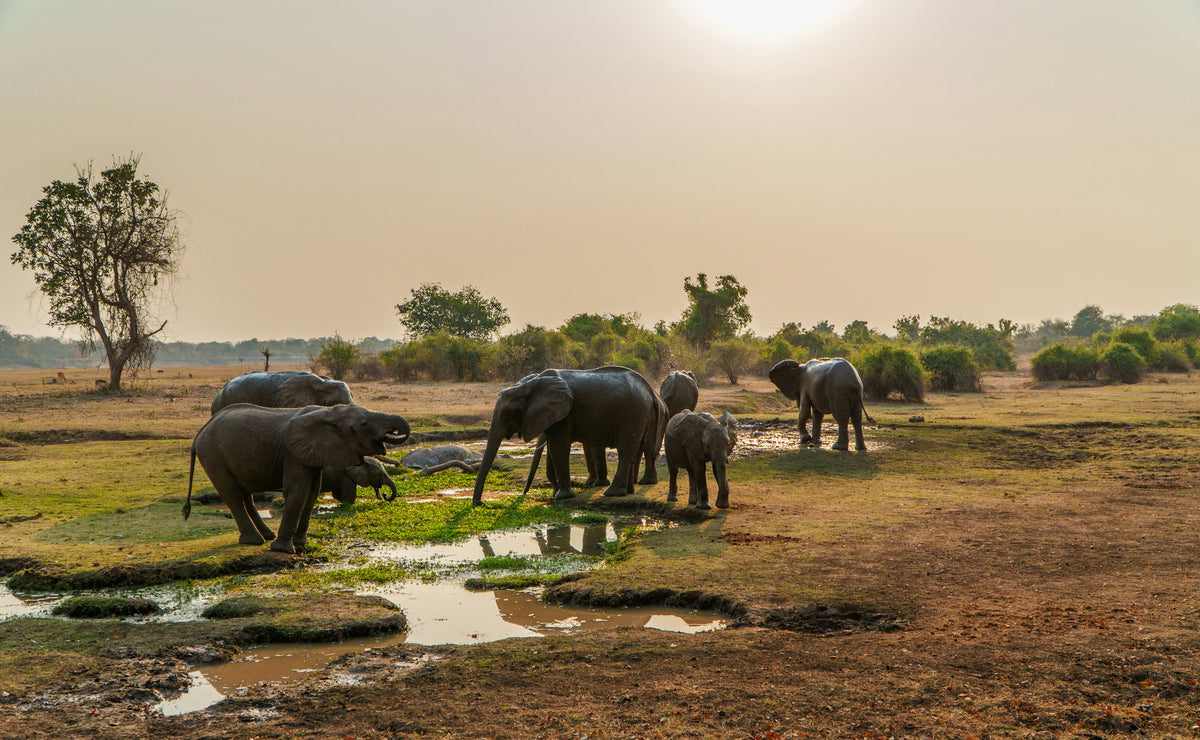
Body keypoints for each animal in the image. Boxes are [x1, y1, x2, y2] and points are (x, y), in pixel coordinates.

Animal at [184, 403, 410, 553]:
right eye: (363, 423)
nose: (385, 496)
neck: (329, 413)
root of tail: (199, 433)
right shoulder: (292, 453)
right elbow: (299, 491)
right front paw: (283, 550)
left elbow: (312, 492)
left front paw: (302, 544)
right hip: (212, 456)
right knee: (233, 496)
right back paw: (255, 541)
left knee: (246, 496)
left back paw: (267, 536)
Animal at [474, 366, 660, 504]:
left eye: (508, 413)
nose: (481, 503)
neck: (529, 384)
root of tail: (649, 390)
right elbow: (553, 448)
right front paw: (556, 493)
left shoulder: (565, 414)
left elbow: (558, 447)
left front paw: (561, 496)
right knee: (634, 450)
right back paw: (627, 491)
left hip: (633, 413)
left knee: (625, 451)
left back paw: (612, 493)